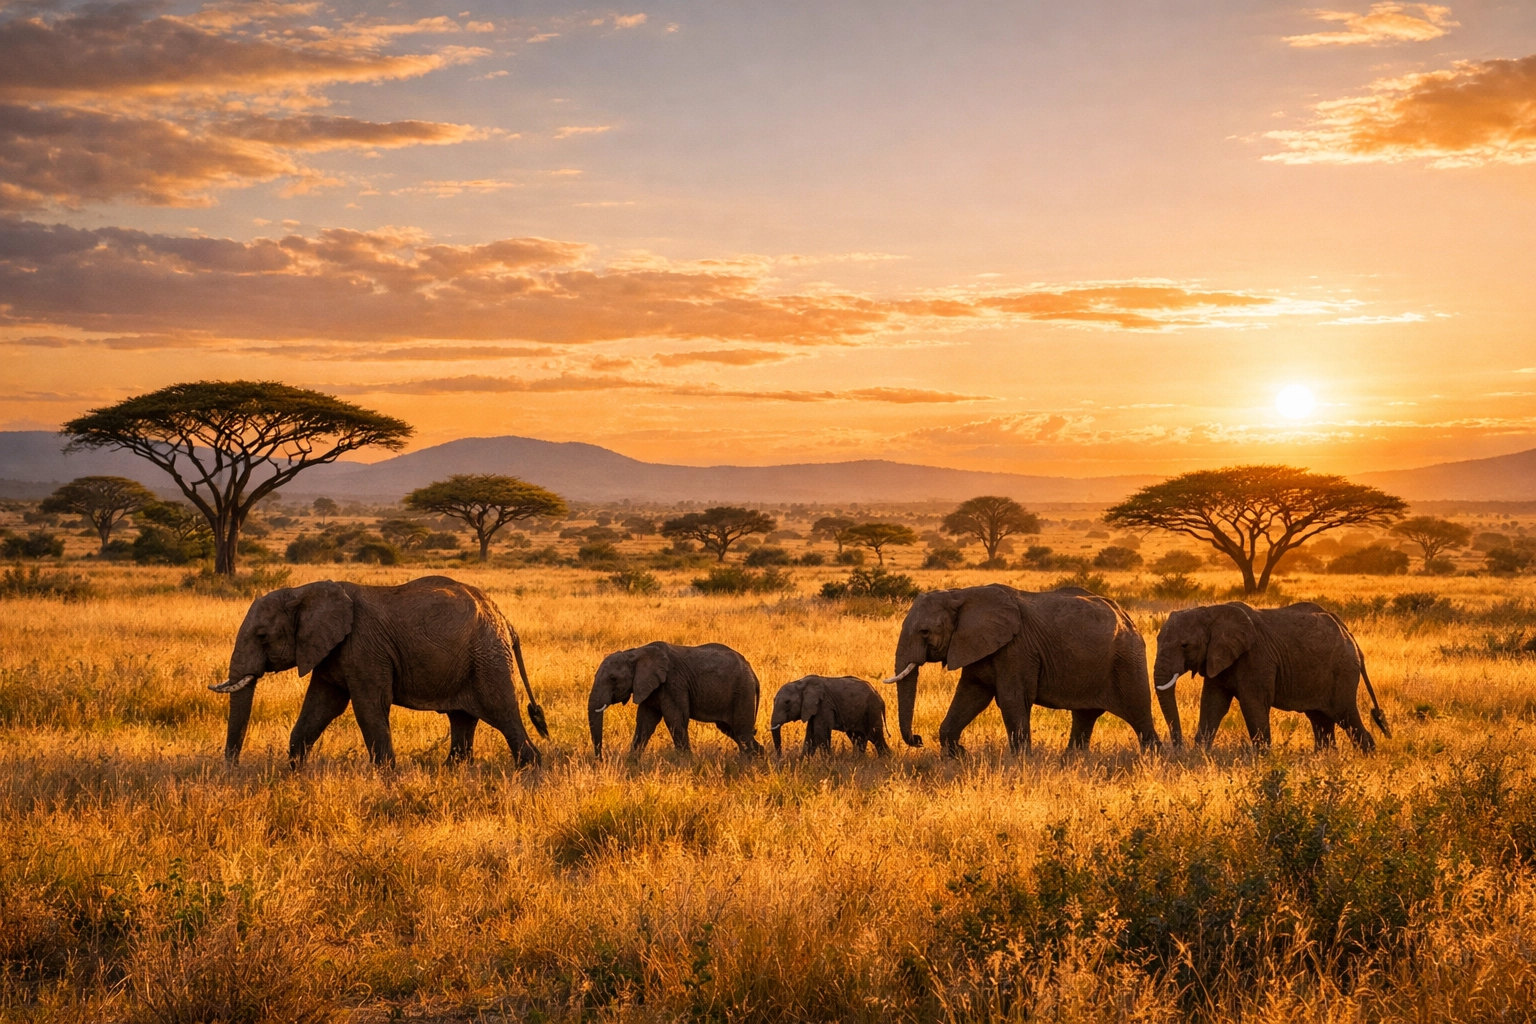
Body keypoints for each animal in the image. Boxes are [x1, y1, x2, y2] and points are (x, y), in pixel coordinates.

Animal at [209, 576, 547, 767]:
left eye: (262, 636)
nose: (232, 768)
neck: (302, 591)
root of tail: (504, 619)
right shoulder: (331, 651)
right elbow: (322, 707)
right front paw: (293, 774)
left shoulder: (364, 648)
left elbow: (368, 706)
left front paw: (386, 777)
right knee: (463, 718)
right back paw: (453, 771)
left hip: (487, 656)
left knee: (501, 711)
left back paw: (530, 770)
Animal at [587, 641, 763, 757]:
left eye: (613, 679)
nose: (600, 760)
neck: (636, 653)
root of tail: (753, 674)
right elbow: (645, 722)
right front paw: (632, 763)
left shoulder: (673, 683)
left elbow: (675, 719)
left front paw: (686, 764)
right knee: (733, 730)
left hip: (742, 691)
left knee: (742, 732)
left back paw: (748, 763)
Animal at [887, 584, 1160, 756]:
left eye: (925, 632)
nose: (918, 739)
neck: (960, 594)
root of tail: (1126, 616)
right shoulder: (976, 646)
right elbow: (971, 696)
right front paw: (959, 756)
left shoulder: (1016, 648)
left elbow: (1011, 699)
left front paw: (1020, 762)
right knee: (1084, 716)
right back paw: (1071, 761)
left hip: (1127, 658)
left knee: (1139, 713)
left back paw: (1153, 759)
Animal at [1152, 601, 1390, 752]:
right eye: (1157, 640)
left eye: (1185, 645)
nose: (1178, 748)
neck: (1210, 611)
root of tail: (1348, 633)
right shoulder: (1217, 659)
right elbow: (1213, 704)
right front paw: (1199, 754)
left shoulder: (1256, 657)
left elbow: (1252, 704)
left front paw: (1263, 760)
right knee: (1320, 720)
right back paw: (1325, 759)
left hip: (1342, 671)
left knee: (1345, 715)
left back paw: (1367, 756)